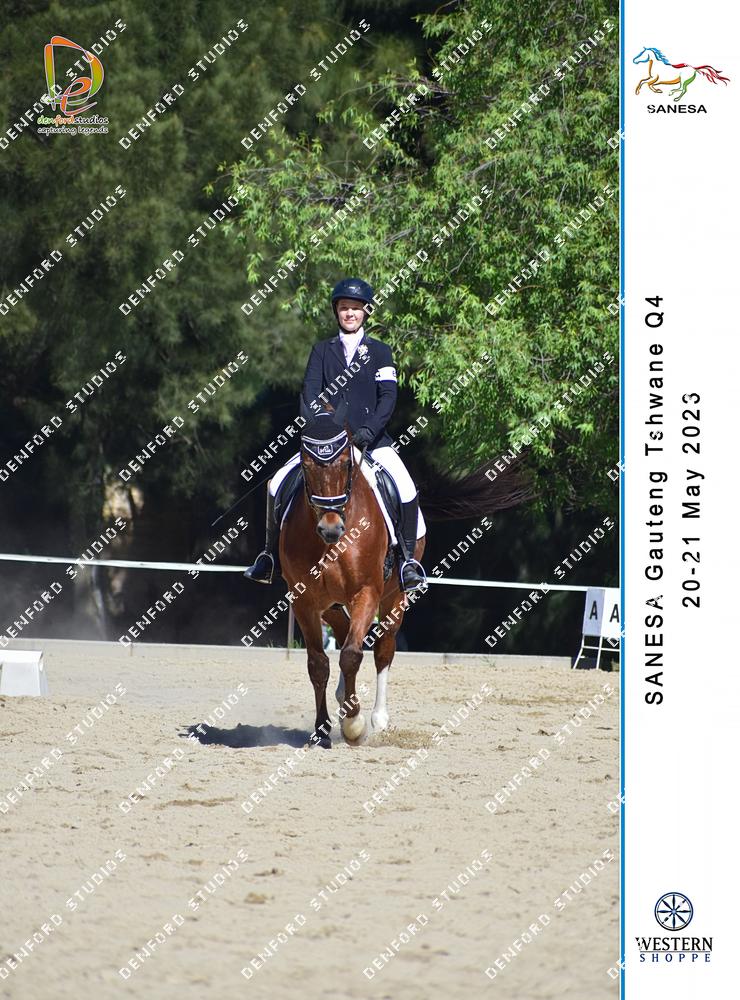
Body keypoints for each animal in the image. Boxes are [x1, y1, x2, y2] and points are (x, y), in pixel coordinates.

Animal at [279, 412, 530, 749]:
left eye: (346, 464)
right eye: (306, 466)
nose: (330, 528)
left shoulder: (367, 592)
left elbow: (352, 655)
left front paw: (354, 726)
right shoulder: (305, 601)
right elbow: (319, 664)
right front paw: (322, 730)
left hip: (394, 596)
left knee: (382, 648)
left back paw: (377, 718)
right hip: (331, 604)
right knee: (345, 633)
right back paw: (345, 698)